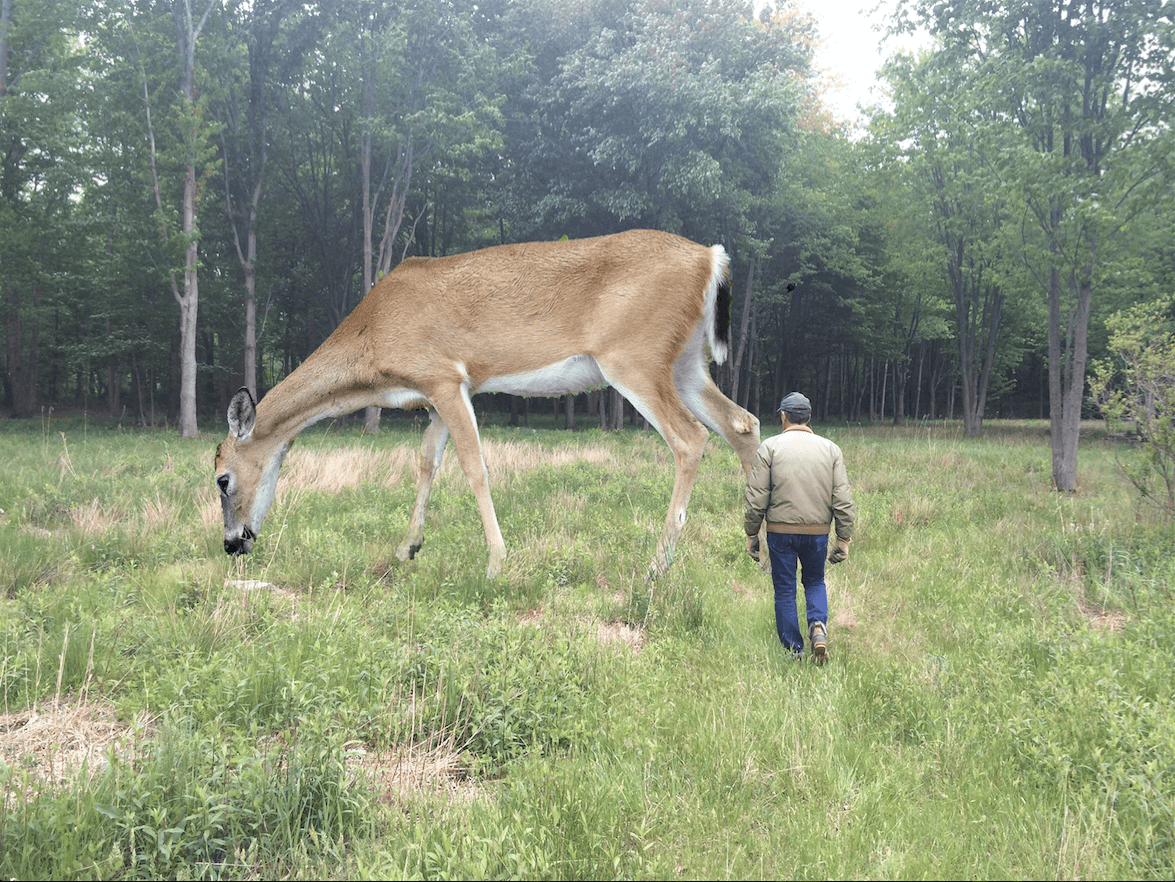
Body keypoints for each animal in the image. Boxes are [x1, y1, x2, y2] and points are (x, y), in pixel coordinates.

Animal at [215, 229, 762, 579]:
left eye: (221, 478)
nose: (231, 543)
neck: (373, 345)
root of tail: (711, 258)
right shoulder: (441, 391)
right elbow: (426, 461)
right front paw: (407, 548)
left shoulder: (443, 375)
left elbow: (473, 465)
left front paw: (497, 561)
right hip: (685, 363)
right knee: (743, 422)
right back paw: (758, 552)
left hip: (634, 355)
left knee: (691, 438)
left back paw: (655, 567)